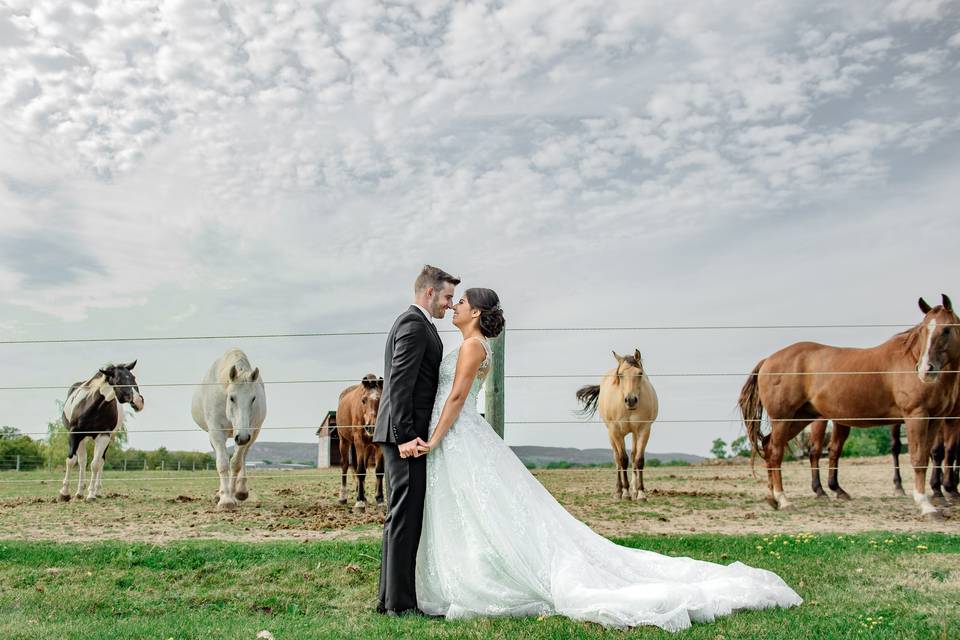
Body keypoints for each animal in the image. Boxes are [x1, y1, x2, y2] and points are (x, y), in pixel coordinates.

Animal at [58, 362, 143, 502]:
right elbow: (71, 461)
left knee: (100, 461)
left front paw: (91, 494)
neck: (93, 406)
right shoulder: (74, 433)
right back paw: (79, 492)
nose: (139, 401)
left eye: (133, 377)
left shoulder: (103, 436)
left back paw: (95, 491)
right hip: (81, 439)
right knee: (82, 461)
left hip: (107, 439)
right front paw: (64, 493)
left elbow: (96, 464)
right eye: (118, 381)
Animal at [191, 348, 266, 512]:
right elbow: (223, 463)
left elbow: (236, 463)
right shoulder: (216, 431)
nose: (242, 437)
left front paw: (232, 496)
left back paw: (240, 491)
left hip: (252, 434)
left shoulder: (249, 431)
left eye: (253, 399)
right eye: (232, 398)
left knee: (243, 456)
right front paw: (225, 499)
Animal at [336, 376, 384, 516]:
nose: (371, 427)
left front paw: (380, 500)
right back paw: (343, 497)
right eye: (363, 400)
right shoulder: (359, 442)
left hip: (367, 448)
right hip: (344, 441)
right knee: (345, 465)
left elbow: (379, 471)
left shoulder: (378, 446)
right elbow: (361, 471)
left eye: (381, 399)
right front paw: (360, 502)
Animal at [576, 350, 660, 500]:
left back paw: (633, 490)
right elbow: (622, 459)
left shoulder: (644, 430)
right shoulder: (615, 431)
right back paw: (618, 491)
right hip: (611, 434)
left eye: (639, 373)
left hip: (634, 434)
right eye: (620, 374)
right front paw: (625, 492)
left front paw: (640, 493)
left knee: (633, 455)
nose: (631, 400)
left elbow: (638, 460)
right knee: (617, 459)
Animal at [744, 298, 960, 516]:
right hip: (783, 419)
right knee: (776, 453)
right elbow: (919, 458)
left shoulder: (936, 419)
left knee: (769, 447)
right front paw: (926, 505)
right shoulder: (916, 416)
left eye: (946, 329)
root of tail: (768, 360)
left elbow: (929, 455)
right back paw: (784, 499)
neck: (909, 358)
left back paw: (772, 497)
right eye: (923, 330)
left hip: (799, 418)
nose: (925, 369)